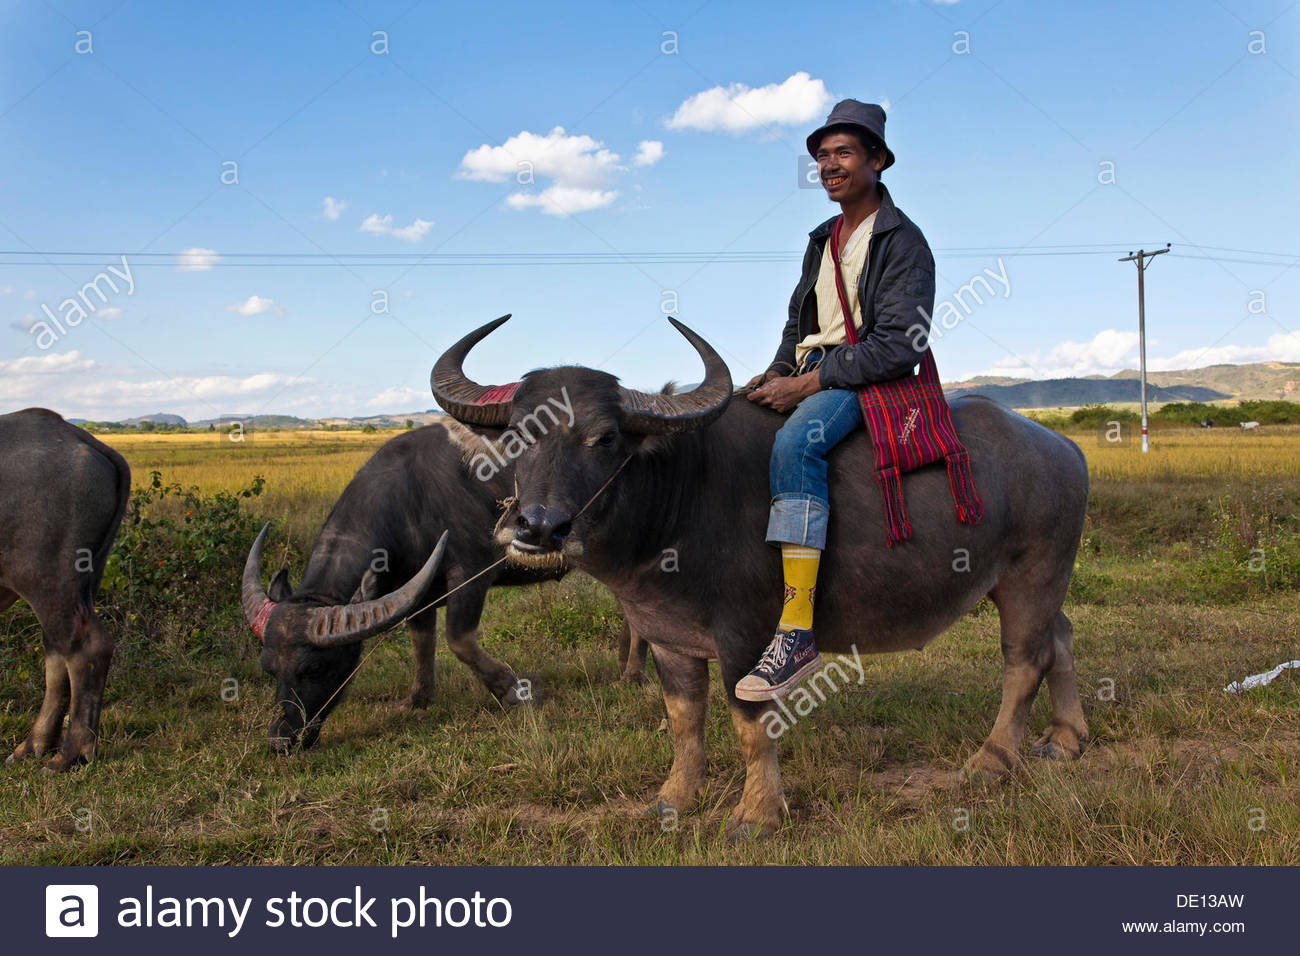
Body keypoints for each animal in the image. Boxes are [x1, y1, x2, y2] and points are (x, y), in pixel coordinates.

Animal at [1, 408, 129, 770]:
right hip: (81, 582)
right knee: (58, 652)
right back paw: (34, 745)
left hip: (46, 580)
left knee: (84, 648)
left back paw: (71, 752)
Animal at [239, 421, 644, 754]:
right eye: (269, 669)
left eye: (314, 668)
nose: (280, 741)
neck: (410, 500)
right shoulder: (416, 587)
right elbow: (422, 641)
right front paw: (417, 698)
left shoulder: (470, 574)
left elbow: (458, 640)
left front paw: (513, 692)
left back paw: (632, 675)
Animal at [431, 317, 1092, 832]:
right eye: (517, 437)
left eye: (607, 437)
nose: (540, 528)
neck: (677, 498)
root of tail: (1062, 449)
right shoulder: (669, 638)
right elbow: (684, 721)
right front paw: (674, 799)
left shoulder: (744, 636)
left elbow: (752, 723)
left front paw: (757, 814)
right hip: (1038, 583)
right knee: (1060, 637)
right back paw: (1066, 738)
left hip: (1031, 576)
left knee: (1024, 662)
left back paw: (991, 760)